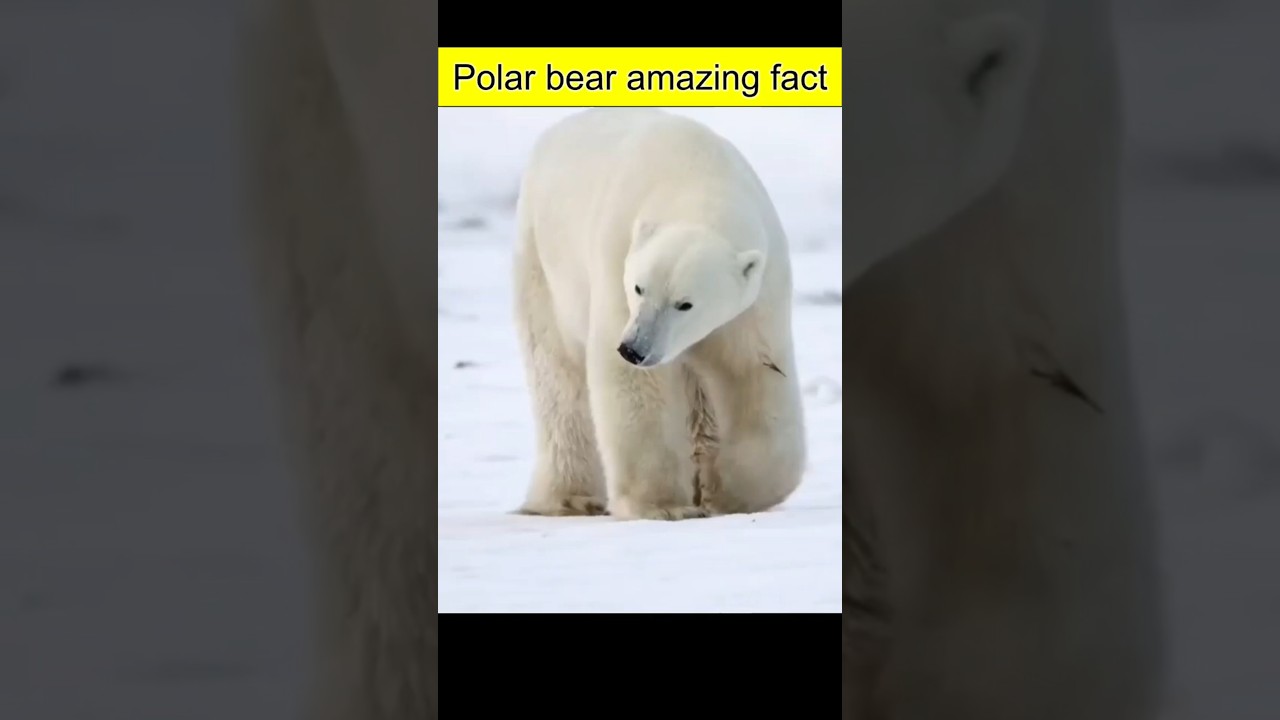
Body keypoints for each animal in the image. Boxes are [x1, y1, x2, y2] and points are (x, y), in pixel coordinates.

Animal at [511, 108, 807, 522]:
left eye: (685, 303)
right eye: (639, 288)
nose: (634, 349)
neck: (697, 180)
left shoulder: (758, 296)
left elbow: (753, 371)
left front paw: (732, 494)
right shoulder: (616, 256)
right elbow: (637, 388)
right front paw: (662, 505)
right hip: (543, 262)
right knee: (558, 377)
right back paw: (568, 498)